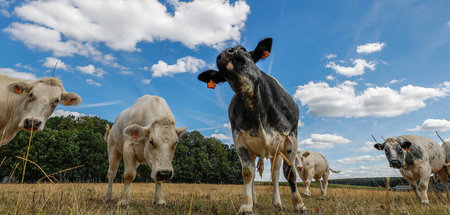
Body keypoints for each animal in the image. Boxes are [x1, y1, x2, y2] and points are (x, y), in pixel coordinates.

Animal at [197, 38, 306, 213]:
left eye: (242, 49)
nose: (223, 54)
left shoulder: (290, 138)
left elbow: (290, 173)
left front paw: (299, 205)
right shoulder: (240, 139)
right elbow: (248, 173)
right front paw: (246, 206)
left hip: (276, 152)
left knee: (275, 174)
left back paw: (277, 203)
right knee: (255, 175)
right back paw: (254, 201)